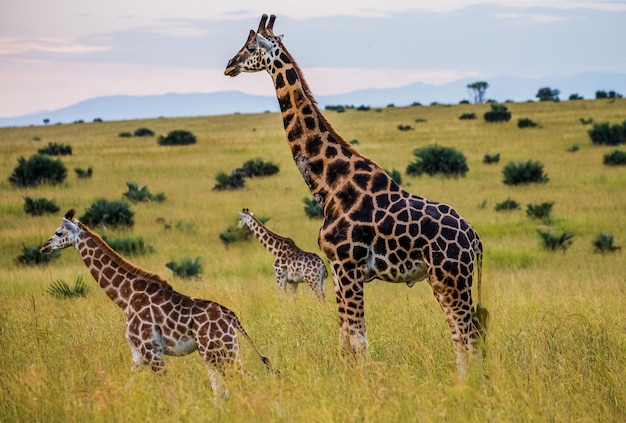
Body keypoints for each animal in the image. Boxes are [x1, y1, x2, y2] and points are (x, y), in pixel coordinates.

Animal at [39, 210, 272, 400]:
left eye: (58, 233)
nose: (43, 247)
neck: (126, 298)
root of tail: (230, 316)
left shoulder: (151, 350)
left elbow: (169, 391)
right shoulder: (137, 354)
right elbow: (128, 387)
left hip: (217, 351)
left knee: (244, 381)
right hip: (219, 351)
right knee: (223, 390)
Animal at [224, 14, 488, 378]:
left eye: (250, 47)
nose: (229, 65)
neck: (330, 185)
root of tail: (475, 239)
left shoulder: (350, 266)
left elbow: (359, 341)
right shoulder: (337, 271)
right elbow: (345, 341)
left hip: (450, 277)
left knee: (465, 336)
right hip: (449, 279)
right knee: (464, 334)